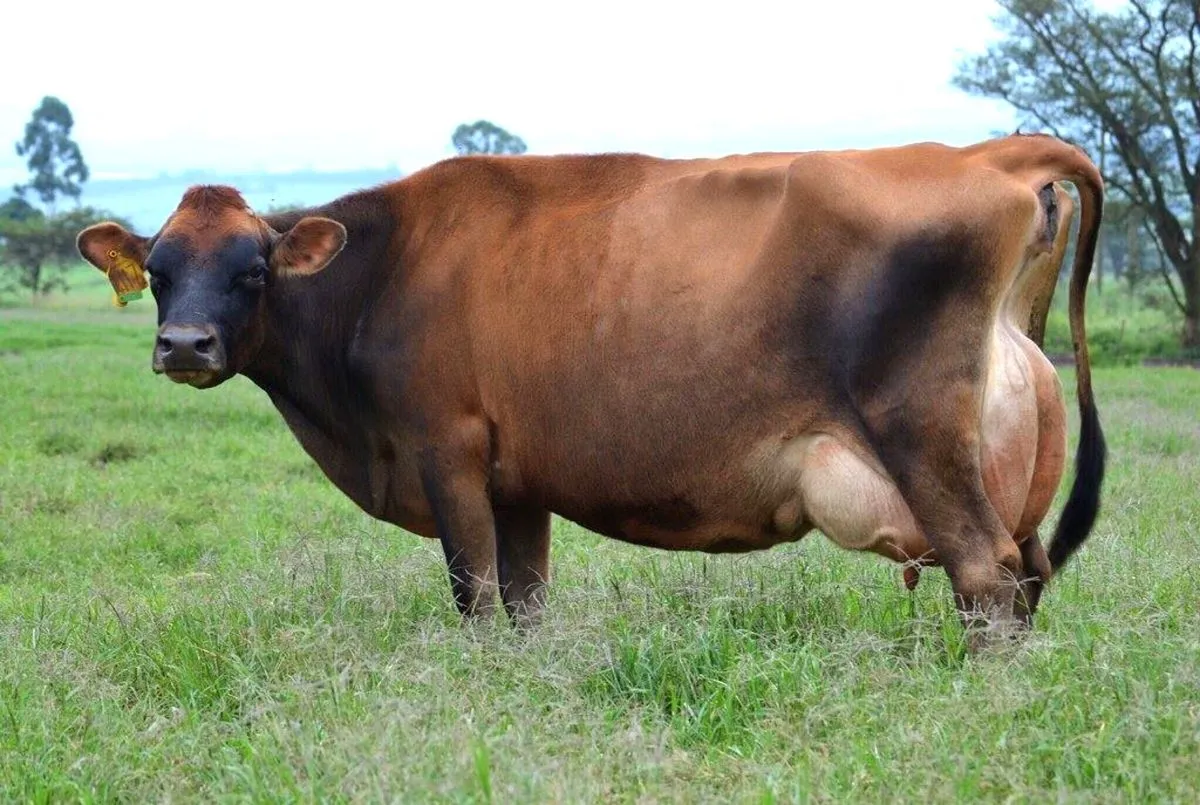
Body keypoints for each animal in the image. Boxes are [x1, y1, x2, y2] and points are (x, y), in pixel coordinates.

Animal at [76, 133, 1105, 647]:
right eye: (159, 271)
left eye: (253, 271)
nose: (184, 344)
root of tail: (982, 153)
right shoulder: (516, 483)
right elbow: (525, 604)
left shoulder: (447, 449)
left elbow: (475, 601)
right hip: (1007, 476)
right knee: (1028, 575)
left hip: (926, 444)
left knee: (986, 581)